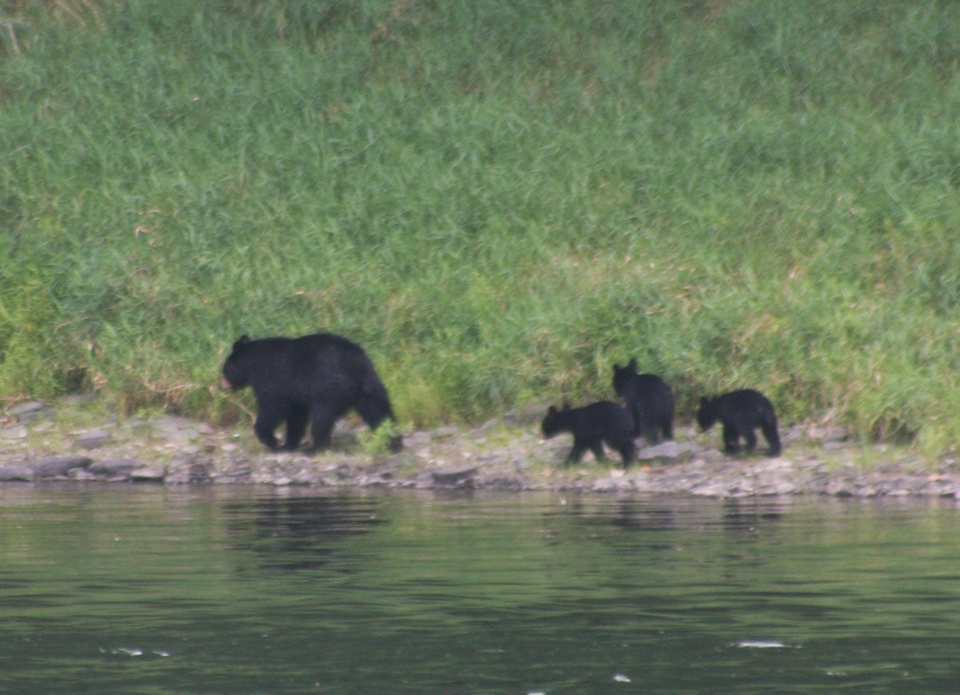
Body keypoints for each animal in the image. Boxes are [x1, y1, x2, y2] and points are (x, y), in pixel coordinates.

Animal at [221, 333, 402, 453]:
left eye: (224, 370)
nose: (222, 385)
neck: (253, 363)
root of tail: (357, 364)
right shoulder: (295, 394)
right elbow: (296, 415)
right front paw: (288, 444)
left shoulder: (271, 379)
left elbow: (272, 408)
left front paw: (273, 442)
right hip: (370, 388)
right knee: (379, 412)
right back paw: (393, 441)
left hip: (331, 388)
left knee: (322, 416)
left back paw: (314, 448)